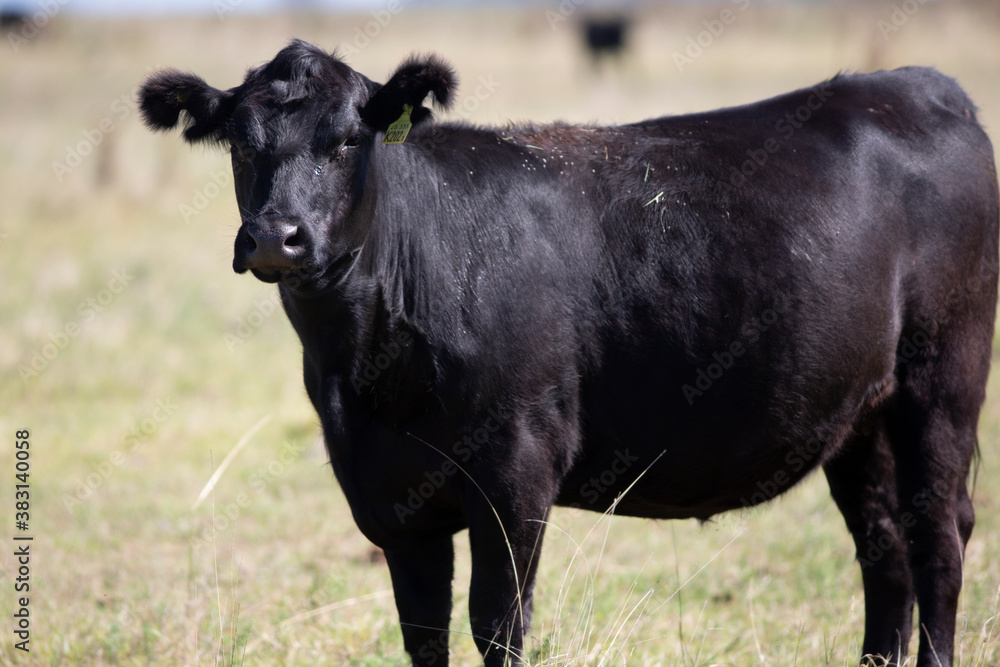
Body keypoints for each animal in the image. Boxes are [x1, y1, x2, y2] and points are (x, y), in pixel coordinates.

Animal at [139, 41, 992, 667]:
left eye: (348, 138)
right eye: (239, 145)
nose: (276, 237)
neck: (368, 372)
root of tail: (917, 84)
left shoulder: (516, 469)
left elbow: (498, 625)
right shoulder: (389, 496)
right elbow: (424, 634)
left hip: (943, 380)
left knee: (937, 538)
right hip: (858, 415)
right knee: (884, 550)